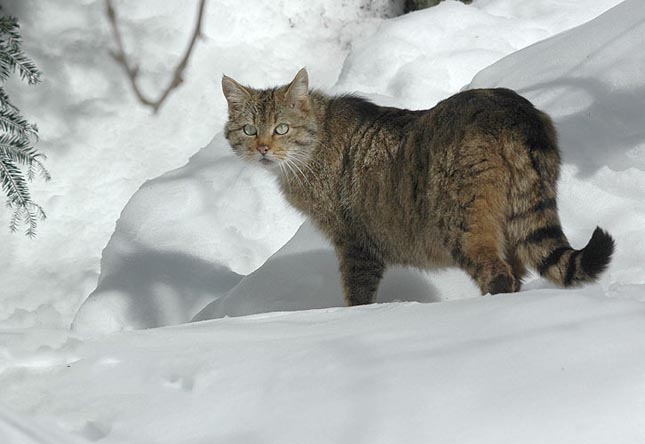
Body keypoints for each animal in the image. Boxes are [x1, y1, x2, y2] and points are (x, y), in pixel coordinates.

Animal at [221, 68, 612, 306]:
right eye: (249, 130)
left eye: (281, 128)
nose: (263, 149)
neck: (316, 142)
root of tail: (512, 110)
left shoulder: (355, 242)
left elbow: (356, 294)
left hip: (462, 224)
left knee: (498, 275)